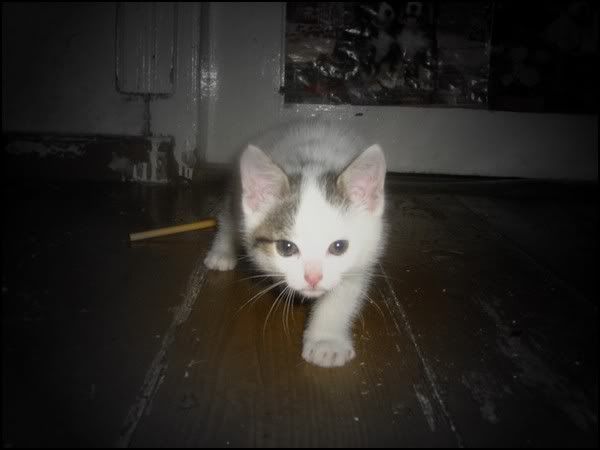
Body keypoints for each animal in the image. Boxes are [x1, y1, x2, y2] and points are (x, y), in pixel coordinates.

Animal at [204, 121, 387, 367]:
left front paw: (326, 342)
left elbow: (342, 294)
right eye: (286, 248)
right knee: (229, 217)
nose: (313, 278)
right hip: (236, 190)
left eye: (339, 247)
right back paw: (221, 251)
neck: (314, 163)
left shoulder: (364, 256)